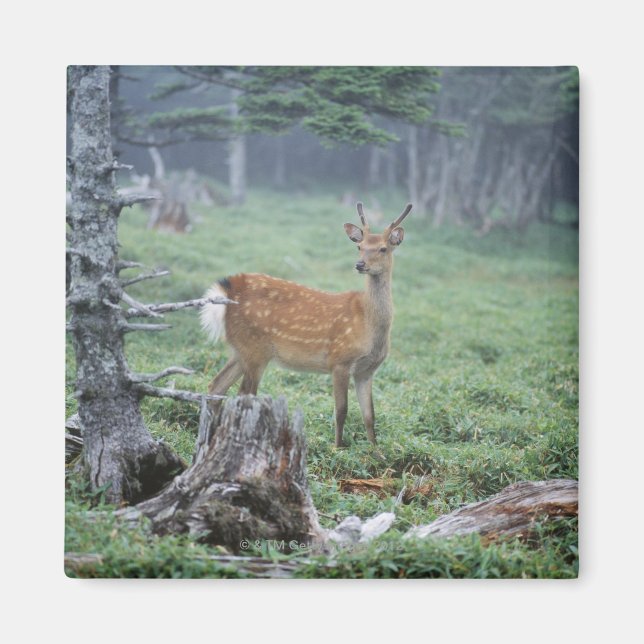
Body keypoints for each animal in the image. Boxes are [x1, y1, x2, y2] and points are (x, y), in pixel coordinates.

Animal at [200, 202, 412, 447]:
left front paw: (375, 451)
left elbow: (369, 415)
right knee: (243, 394)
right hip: (255, 348)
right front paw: (338, 448)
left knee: (216, 386)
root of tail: (225, 291)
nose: (360, 264)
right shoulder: (340, 359)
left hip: (241, 349)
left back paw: (207, 441)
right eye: (359, 246)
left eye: (383, 248)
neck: (370, 325)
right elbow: (341, 410)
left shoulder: (367, 370)